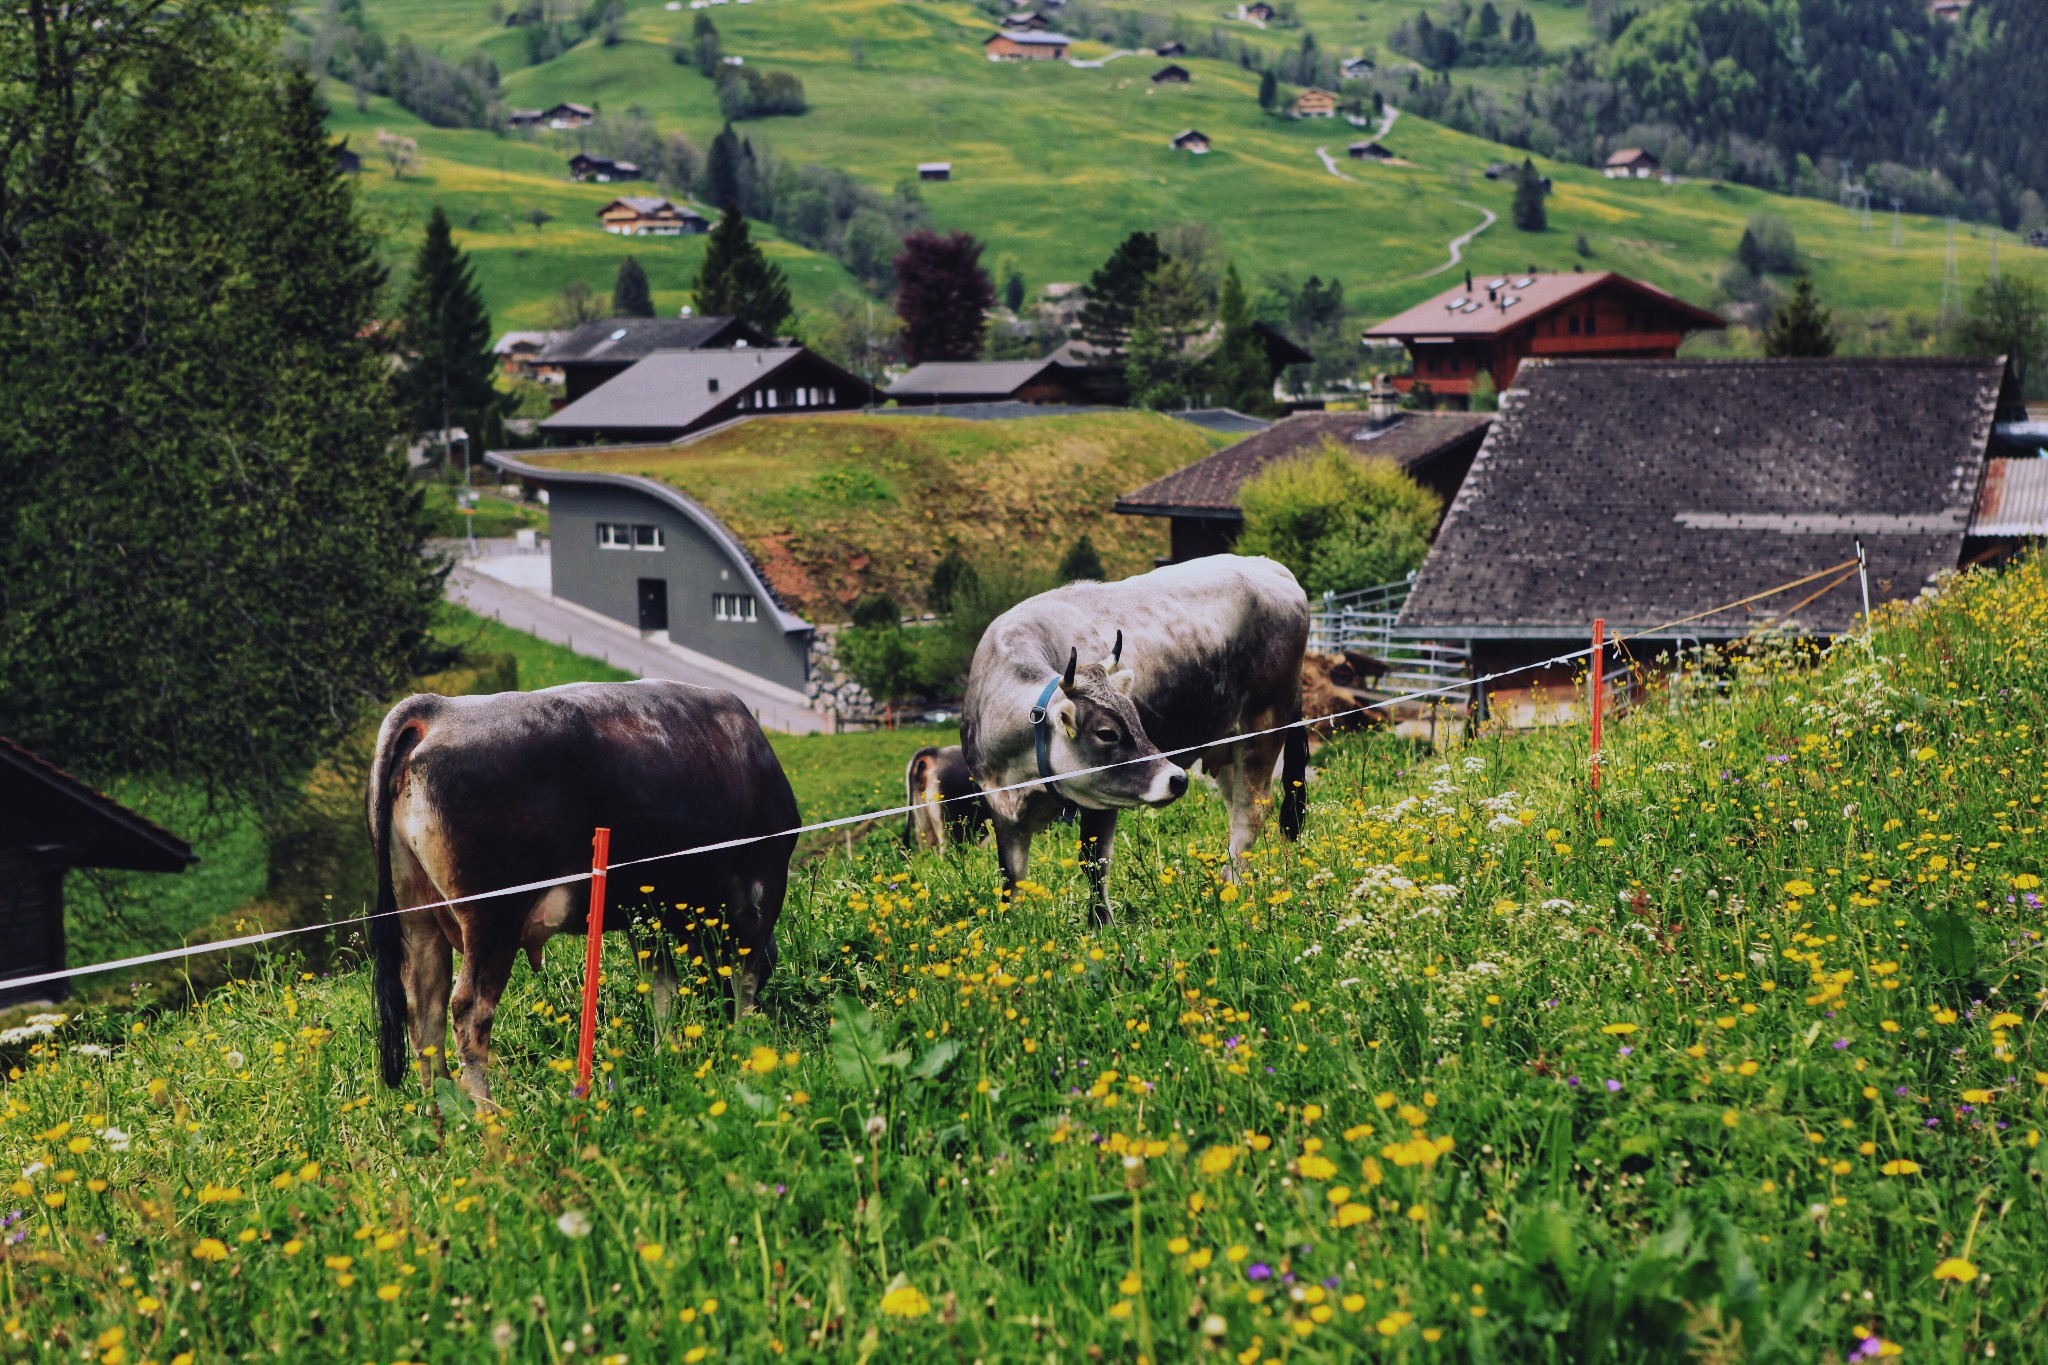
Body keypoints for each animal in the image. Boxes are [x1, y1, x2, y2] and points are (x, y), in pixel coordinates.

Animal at [364, 683, 794, 1113]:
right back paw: (489, 1117)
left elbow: (661, 985)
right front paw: (742, 1049)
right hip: (493, 916)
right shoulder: (763, 880)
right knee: (469, 1012)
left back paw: (445, 1116)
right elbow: (745, 972)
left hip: (416, 917)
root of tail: (439, 709)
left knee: (424, 1012)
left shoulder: (642, 912)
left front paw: (664, 1060)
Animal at [958, 556, 1310, 929]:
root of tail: (1267, 566)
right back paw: (1227, 881)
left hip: (1264, 726)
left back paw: (1237, 890)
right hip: (1228, 746)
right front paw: (1011, 925)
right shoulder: (1001, 807)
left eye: (1138, 720)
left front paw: (1101, 924)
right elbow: (1010, 876)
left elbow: (1092, 862)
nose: (1176, 779)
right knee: (1236, 810)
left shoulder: (1101, 799)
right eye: (1107, 732)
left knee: (1250, 811)